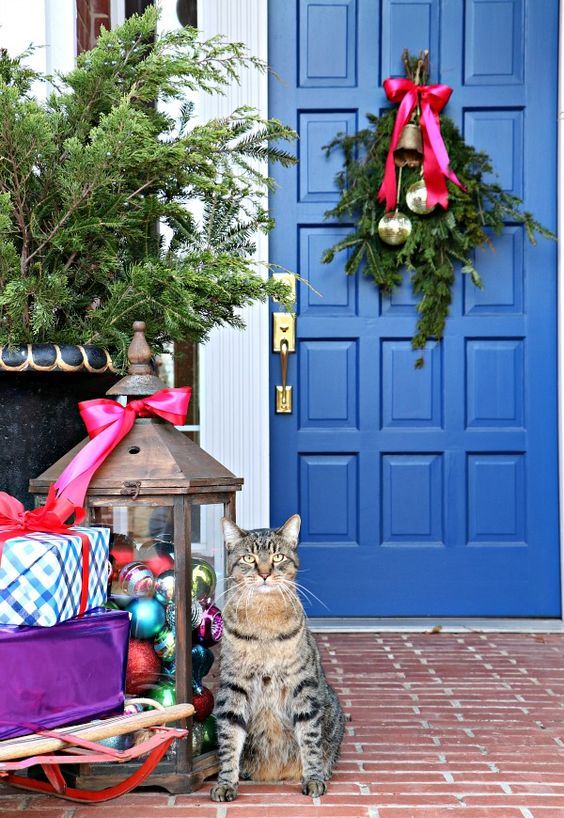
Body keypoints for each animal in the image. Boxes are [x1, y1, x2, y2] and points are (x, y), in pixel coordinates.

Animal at [210, 512, 346, 800]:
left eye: (278, 557)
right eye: (249, 558)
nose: (264, 573)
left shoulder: (302, 685)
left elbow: (310, 737)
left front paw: (313, 777)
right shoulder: (233, 687)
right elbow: (229, 738)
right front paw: (226, 782)